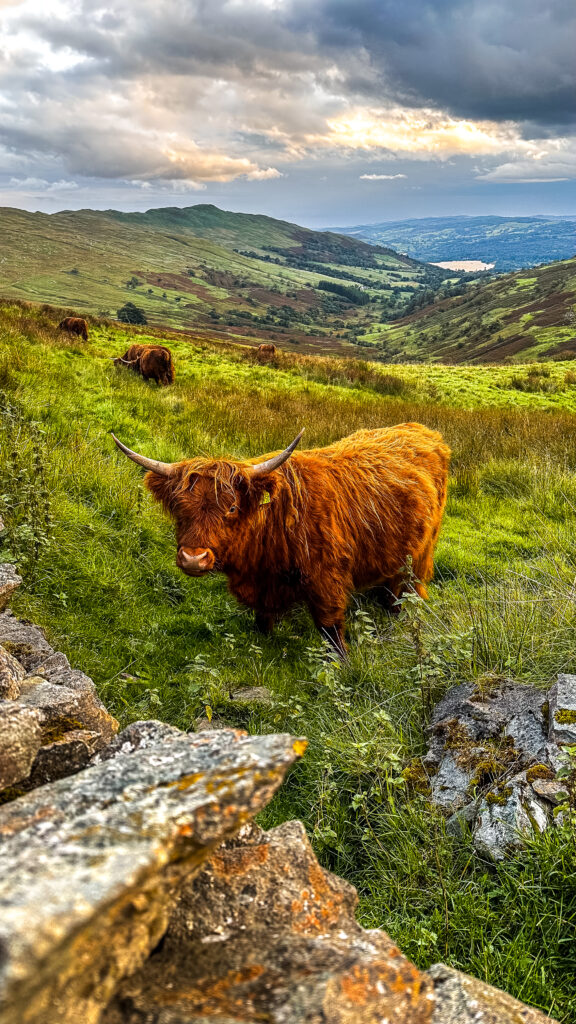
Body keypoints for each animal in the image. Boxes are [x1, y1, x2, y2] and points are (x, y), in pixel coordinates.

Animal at [109, 421, 446, 655]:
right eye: (179, 507)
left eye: (232, 507)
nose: (193, 558)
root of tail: (422, 431)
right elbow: (262, 620)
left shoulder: (327, 579)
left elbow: (330, 629)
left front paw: (342, 664)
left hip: (421, 552)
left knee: (405, 588)